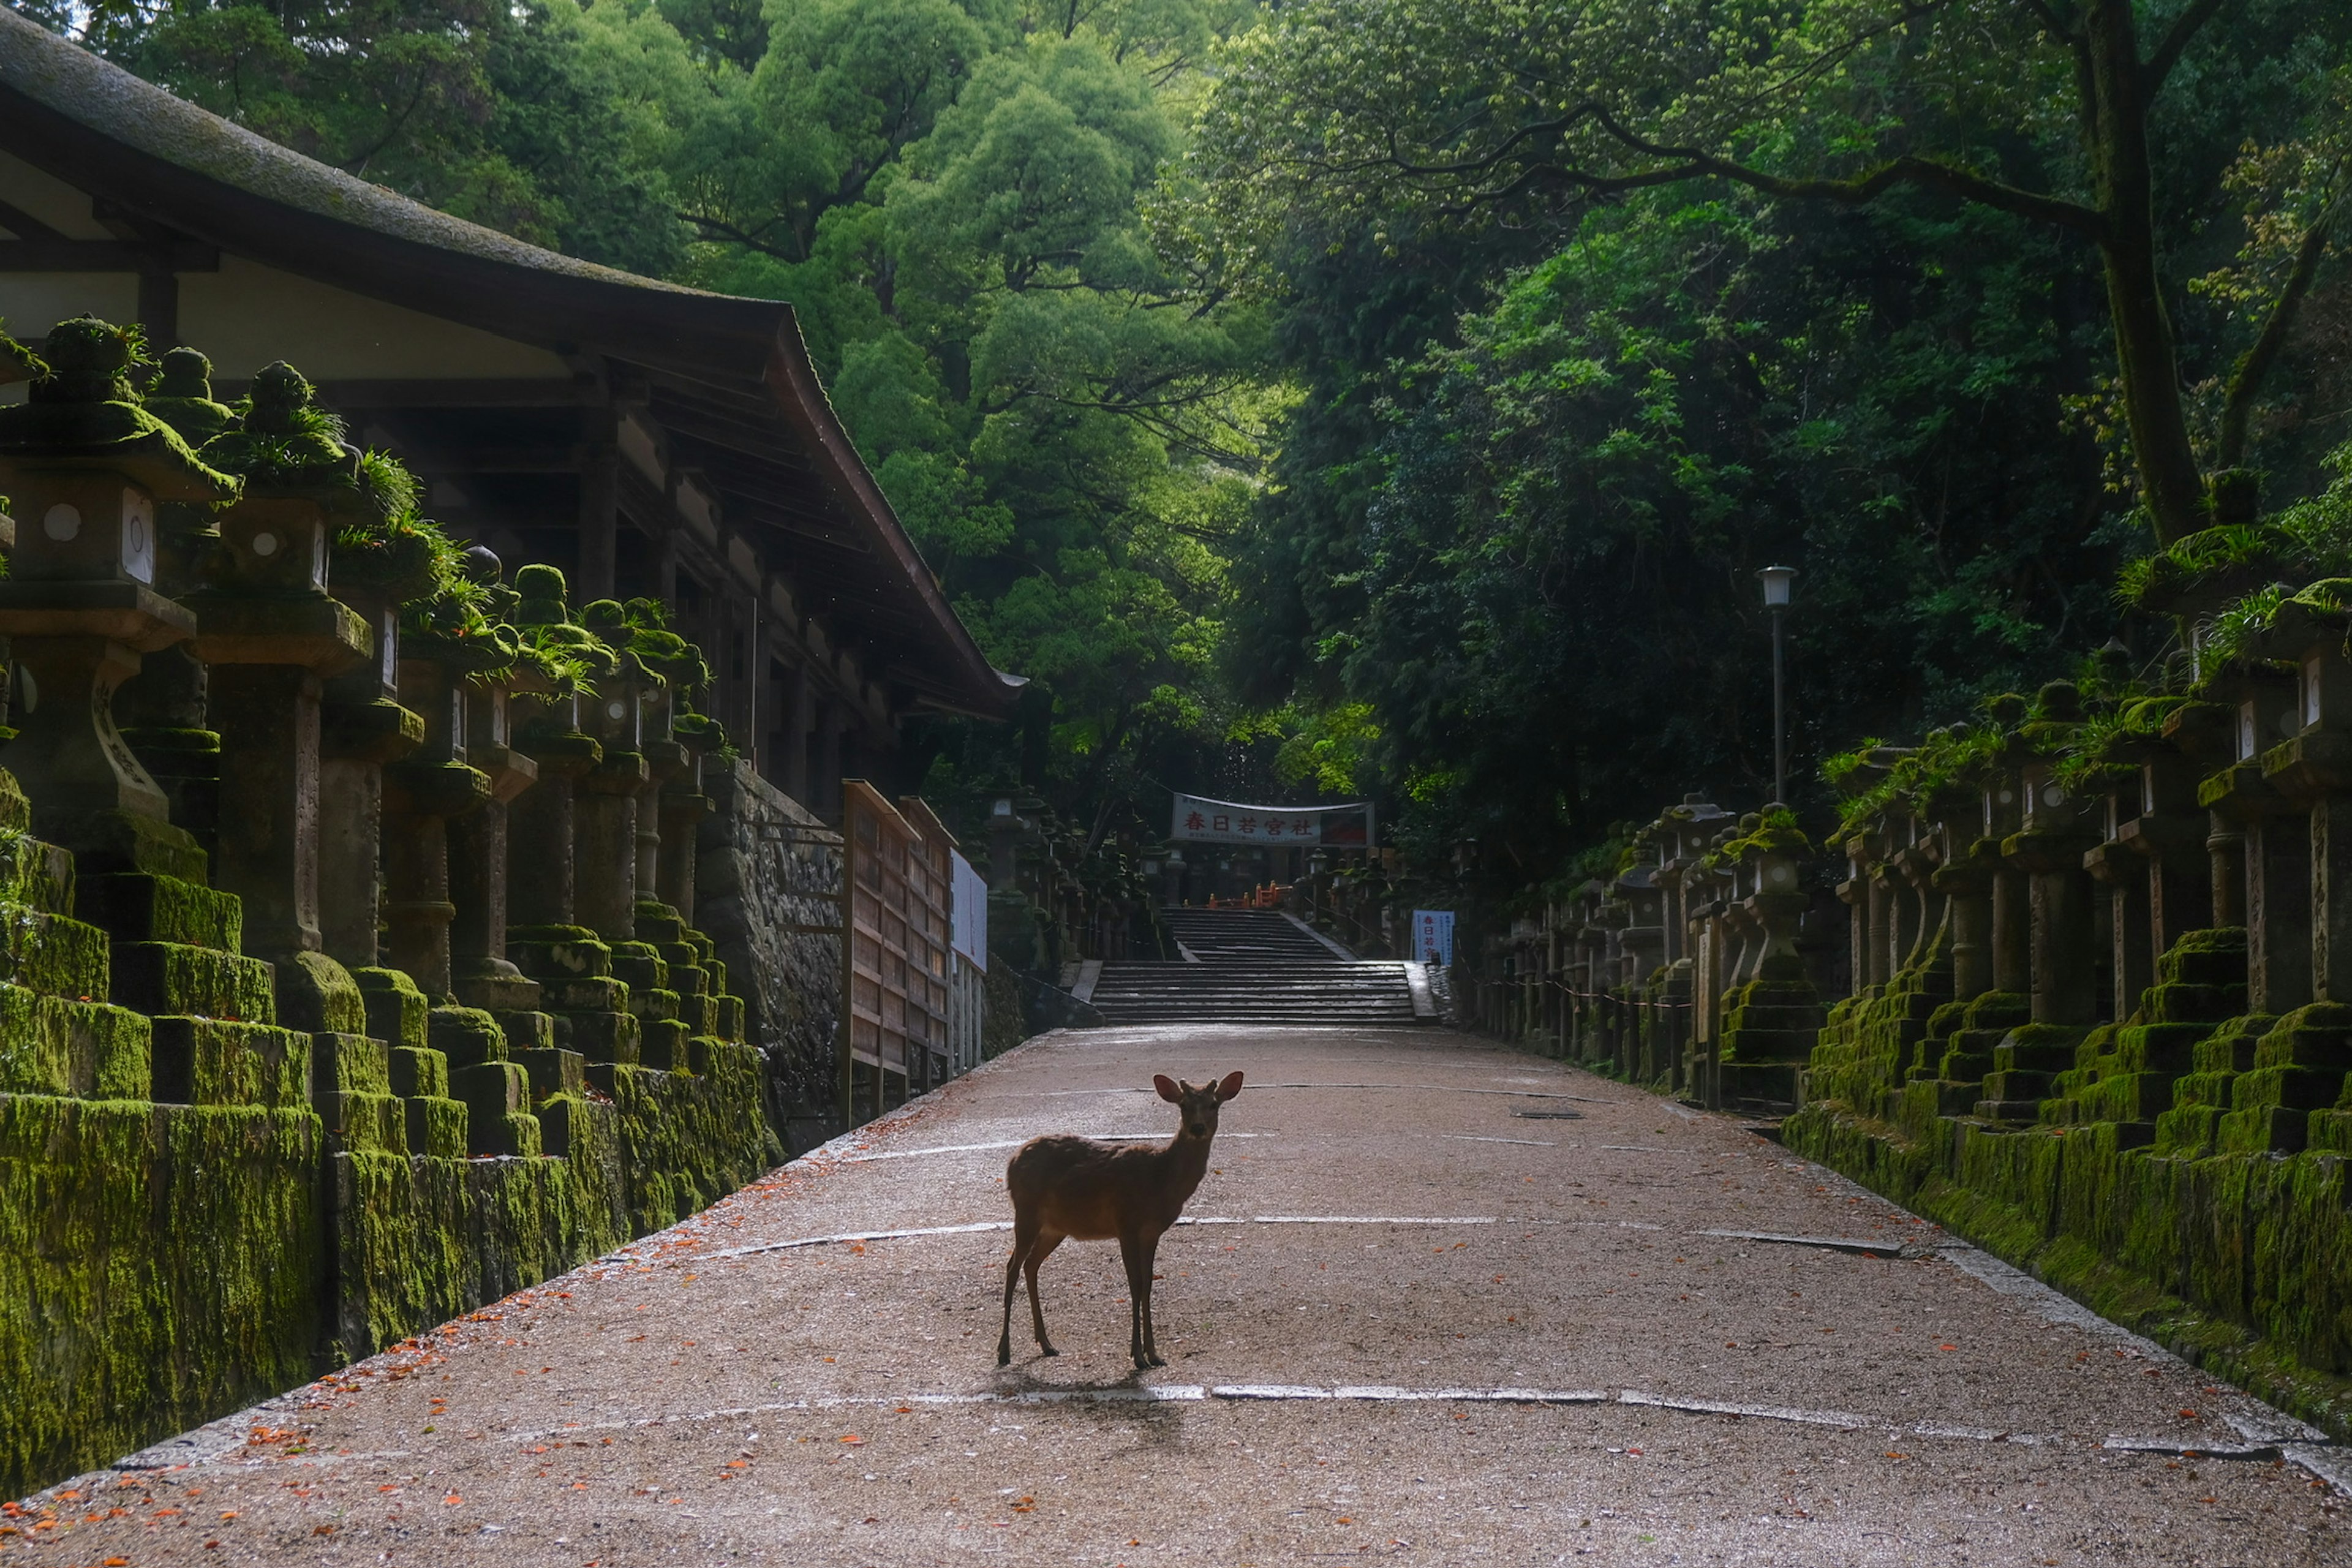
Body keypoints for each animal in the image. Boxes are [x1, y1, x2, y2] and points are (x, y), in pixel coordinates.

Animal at [997, 1072, 1251, 1363]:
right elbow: (1135, 1284)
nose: (1198, 1128)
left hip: (1055, 1228)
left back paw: (1047, 1344)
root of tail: (1012, 1162)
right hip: (1026, 1211)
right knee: (1012, 1266)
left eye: (1213, 1104)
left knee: (1031, 1265)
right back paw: (1004, 1351)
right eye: (1184, 1106)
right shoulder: (1126, 1223)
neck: (1160, 1179)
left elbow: (1148, 1284)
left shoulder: (1152, 1232)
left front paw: (1154, 1354)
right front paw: (1138, 1356)